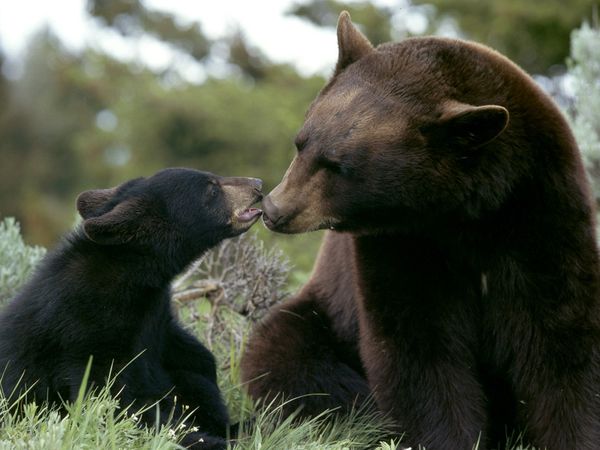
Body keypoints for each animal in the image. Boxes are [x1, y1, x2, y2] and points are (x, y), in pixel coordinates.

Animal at [241, 9, 600, 450]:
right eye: (301, 143)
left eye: (339, 166)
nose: (274, 209)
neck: (465, 214)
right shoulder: (402, 243)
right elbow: (418, 347)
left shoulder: (540, 213)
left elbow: (558, 340)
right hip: (320, 316)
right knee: (289, 358)